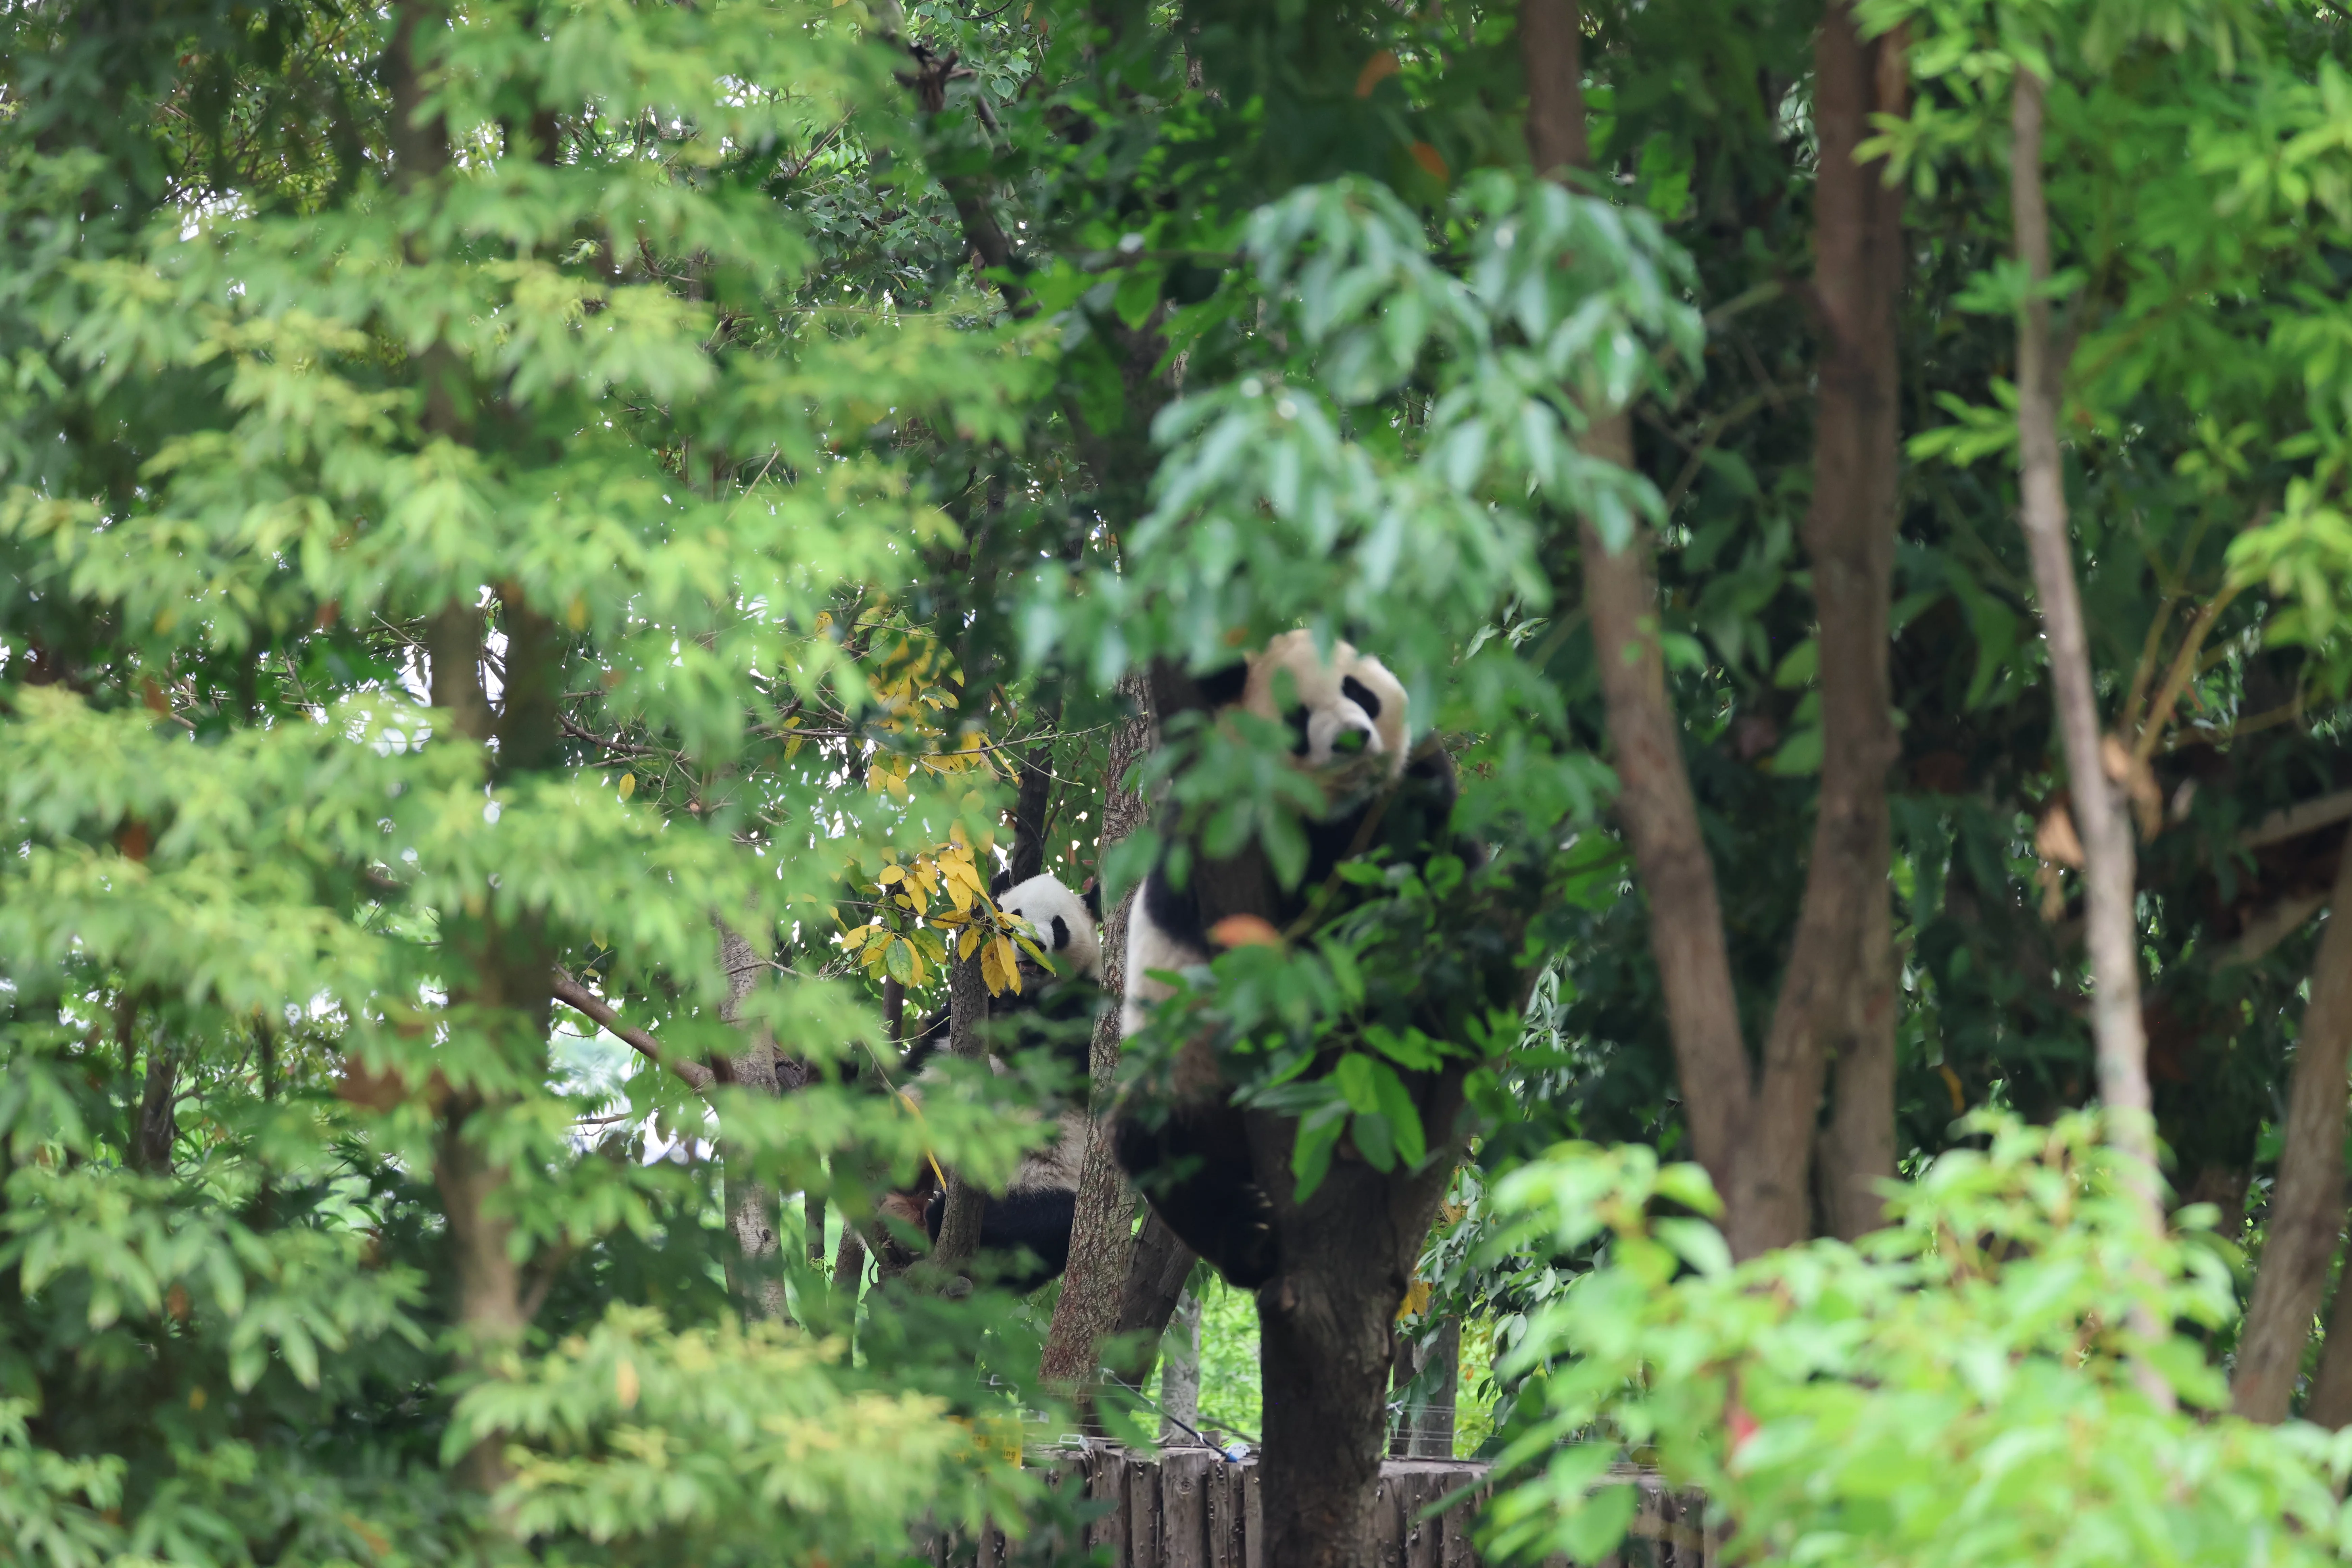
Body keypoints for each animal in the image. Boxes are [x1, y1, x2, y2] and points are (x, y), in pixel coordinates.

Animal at [878, 870, 1105, 1289]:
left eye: (1059, 925)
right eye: (1015, 915)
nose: (1033, 945)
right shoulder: (955, 1018)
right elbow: (927, 1047)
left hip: (1044, 1182)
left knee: (1041, 1223)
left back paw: (938, 1219)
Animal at [1111, 631, 1466, 1290]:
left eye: (1359, 692)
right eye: (1297, 720)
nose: (1353, 738)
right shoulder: (1219, 834)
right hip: (1177, 1070)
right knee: (1159, 1150)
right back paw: (1247, 1240)